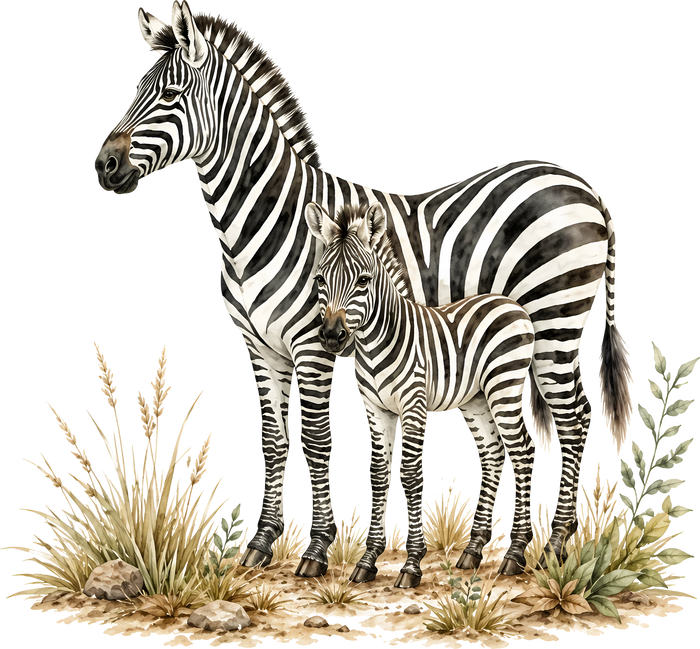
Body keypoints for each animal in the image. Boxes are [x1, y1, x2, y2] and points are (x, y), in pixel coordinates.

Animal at [306, 201, 538, 585]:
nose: (332, 337)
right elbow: (378, 474)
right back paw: (472, 553)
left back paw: (515, 554)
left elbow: (411, 475)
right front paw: (367, 561)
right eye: (320, 280)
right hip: (475, 399)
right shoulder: (375, 410)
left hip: (504, 385)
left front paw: (412, 563)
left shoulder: (413, 406)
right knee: (493, 456)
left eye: (364, 280)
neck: (376, 342)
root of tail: (510, 302)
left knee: (523, 454)